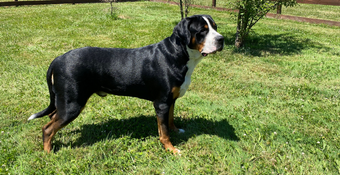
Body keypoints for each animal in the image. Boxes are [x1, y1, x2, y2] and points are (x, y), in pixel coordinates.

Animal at [29, 15, 224, 154]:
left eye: (215, 27)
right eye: (202, 31)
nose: (221, 39)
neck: (179, 54)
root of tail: (58, 59)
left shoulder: (171, 100)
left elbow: (170, 120)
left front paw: (176, 130)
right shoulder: (161, 102)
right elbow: (163, 131)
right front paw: (171, 149)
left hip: (64, 101)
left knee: (51, 117)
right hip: (72, 104)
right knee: (47, 128)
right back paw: (48, 153)